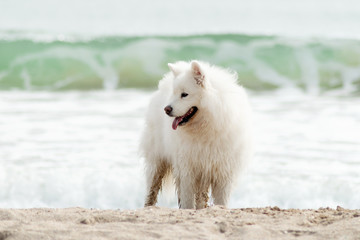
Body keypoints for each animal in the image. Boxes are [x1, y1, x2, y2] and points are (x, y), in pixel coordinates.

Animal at [141, 61, 253, 209]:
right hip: (157, 161)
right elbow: (188, 198)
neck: (206, 127)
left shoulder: (222, 171)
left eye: (184, 94)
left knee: (201, 197)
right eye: (174, 93)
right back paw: (148, 207)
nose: (166, 109)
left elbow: (220, 201)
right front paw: (187, 210)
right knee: (151, 189)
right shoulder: (188, 168)